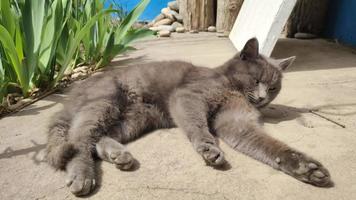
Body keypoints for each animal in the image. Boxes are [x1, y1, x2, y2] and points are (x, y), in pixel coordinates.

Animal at [46, 38, 332, 196]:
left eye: (273, 88)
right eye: (257, 80)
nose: (263, 97)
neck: (231, 86)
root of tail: (72, 95)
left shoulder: (236, 121)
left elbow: (268, 145)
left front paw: (306, 168)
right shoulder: (187, 96)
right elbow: (196, 124)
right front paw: (208, 148)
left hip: (132, 119)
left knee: (97, 138)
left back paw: (119, 155)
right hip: (105, 101)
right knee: (79, 139)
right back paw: (83, 176)